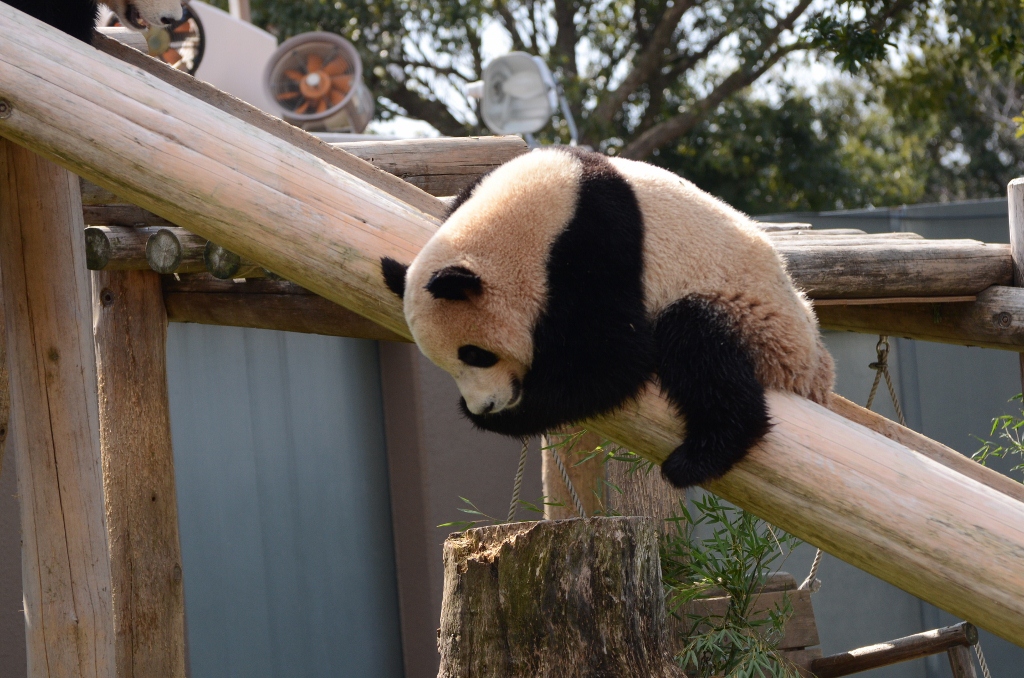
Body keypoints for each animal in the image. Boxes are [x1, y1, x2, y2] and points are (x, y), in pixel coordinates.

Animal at [380, 148, 835, 489]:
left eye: (475, 354)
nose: (486, 405)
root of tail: (815, 373)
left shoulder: (597, 246)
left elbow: (613, 361)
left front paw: (509, 414)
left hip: (760, 326)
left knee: (698, 341)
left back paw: (699, 457)